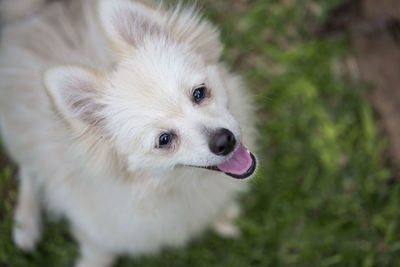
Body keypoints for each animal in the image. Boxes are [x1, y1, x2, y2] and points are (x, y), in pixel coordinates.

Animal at [0, 1, 256, 266]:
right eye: (164, 140)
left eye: (199, 93)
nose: (224, 140)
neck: (166, 186)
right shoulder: (97, 233)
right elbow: (98, 254)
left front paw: (224, 217)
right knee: (28, 170)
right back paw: (25, 223)